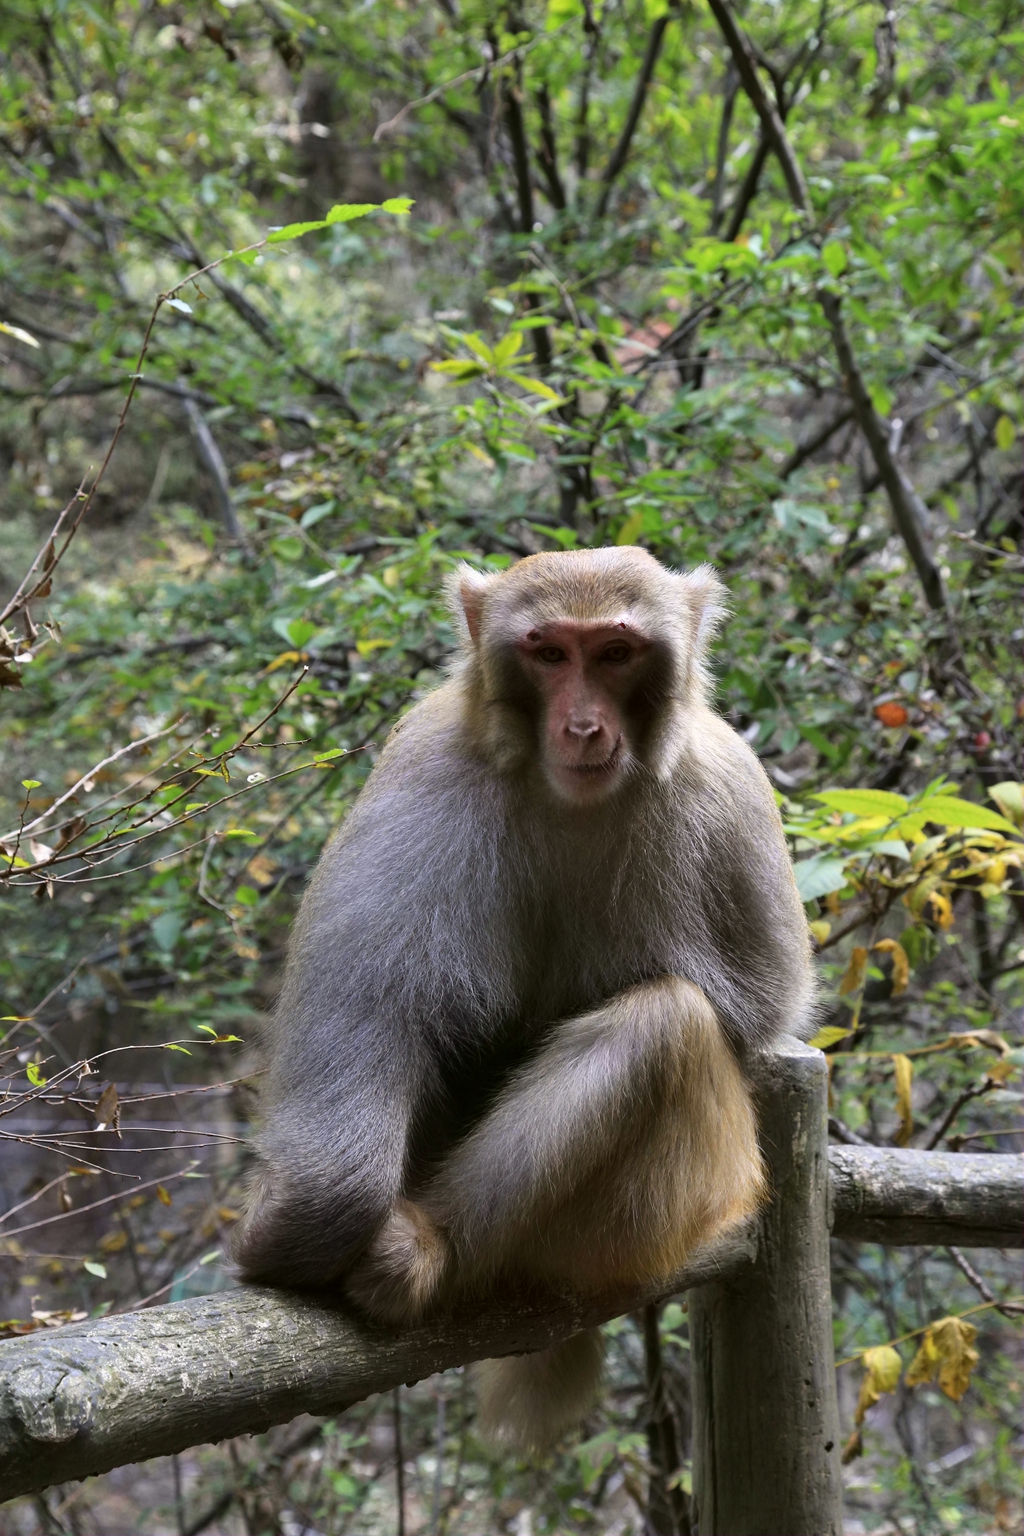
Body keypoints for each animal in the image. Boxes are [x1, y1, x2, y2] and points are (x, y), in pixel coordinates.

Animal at [234, 543, 816, 1449]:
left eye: (614, 652)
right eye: (548, 653)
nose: (582, 727)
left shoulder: (731, 792)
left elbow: (758, 1007)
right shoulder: (422, 770)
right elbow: (370, 1012)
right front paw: (306, 1217)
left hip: (681, 1206)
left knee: (665, 1023)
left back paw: (432, 1246)